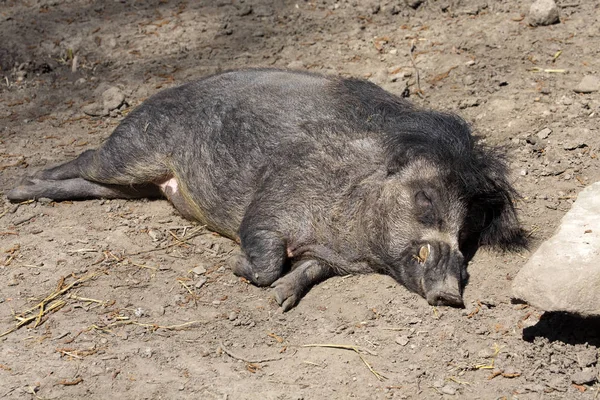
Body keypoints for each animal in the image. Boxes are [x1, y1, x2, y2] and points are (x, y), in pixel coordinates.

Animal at [8, 69, 524, 310]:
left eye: (465, 234)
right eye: (425, 200)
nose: (451, 294)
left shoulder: (330, 258)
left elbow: (306, 271)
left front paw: (281, 300)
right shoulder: (273, 203)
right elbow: (267, 258)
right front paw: (235, 267)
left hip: (134, 187)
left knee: (92, 185)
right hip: (132, 148)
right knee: (84, 160)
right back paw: (18, 188)